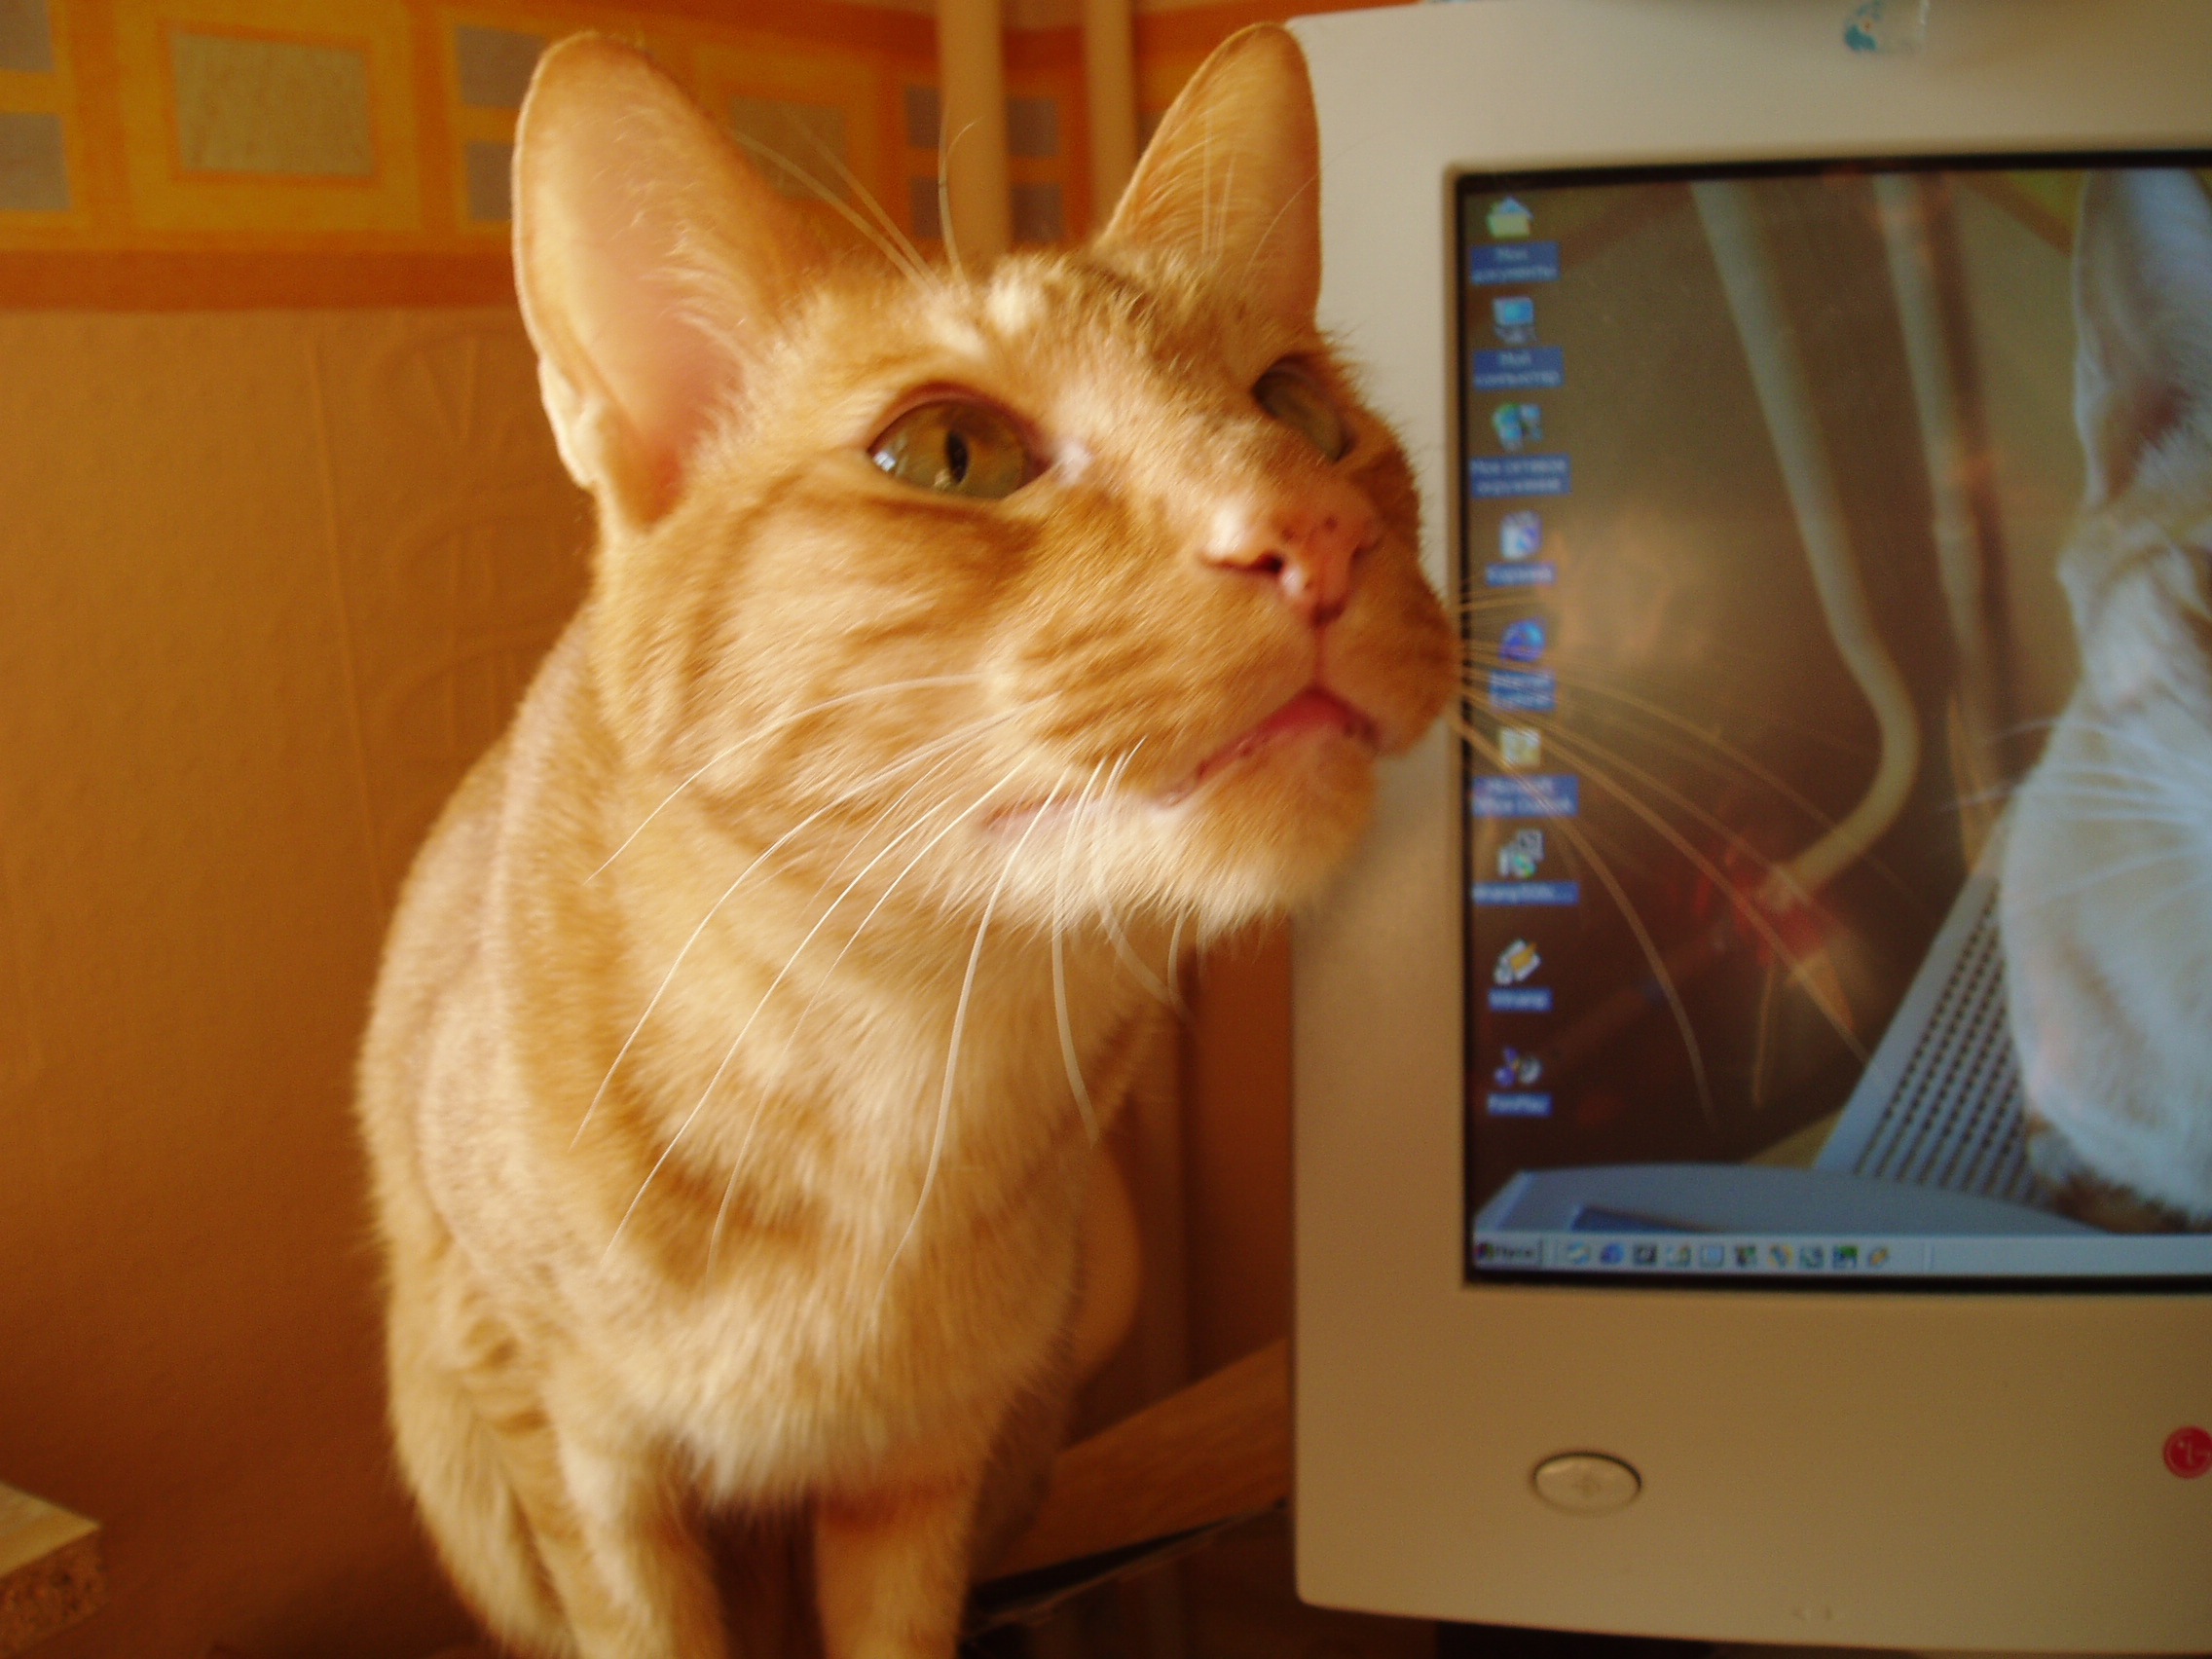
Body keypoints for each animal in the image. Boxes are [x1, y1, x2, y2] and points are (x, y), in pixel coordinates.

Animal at [355, 22, 1454, 1659]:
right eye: (949, 452)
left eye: (1304, 412)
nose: (1318, 529)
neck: (906, 1052)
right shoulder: (573, 1455)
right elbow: (639, 1620)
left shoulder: (927, 1473)